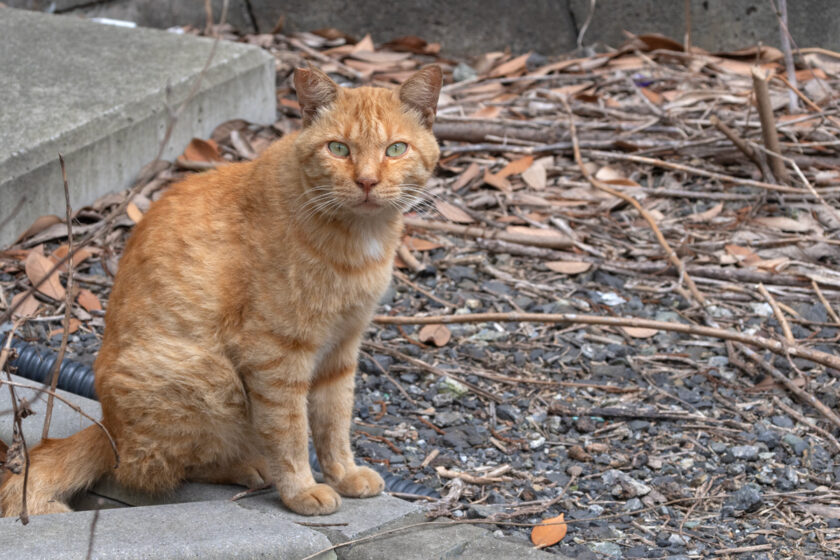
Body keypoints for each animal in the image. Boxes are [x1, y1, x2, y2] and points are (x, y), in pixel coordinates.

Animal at [0, 64, 442, 516]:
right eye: (338, 148)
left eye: (395, 149)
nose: (367, 181)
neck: (359, 238)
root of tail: (108, 426)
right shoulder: (277, 355)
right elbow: (290, 431)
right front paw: (301, 489)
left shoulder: (341, 349)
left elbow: (334, 422)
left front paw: (344, 474)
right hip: (208, 378)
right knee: (156, 468)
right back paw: (250, 467)